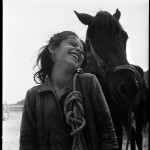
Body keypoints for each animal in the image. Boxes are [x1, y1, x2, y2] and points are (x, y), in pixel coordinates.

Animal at [75, 9, 149, 150]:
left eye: (125, 37)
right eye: (96, 39)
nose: (129, 87)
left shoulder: (115, 122)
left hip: (139, 111)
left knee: (138, 136)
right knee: (132, 133)